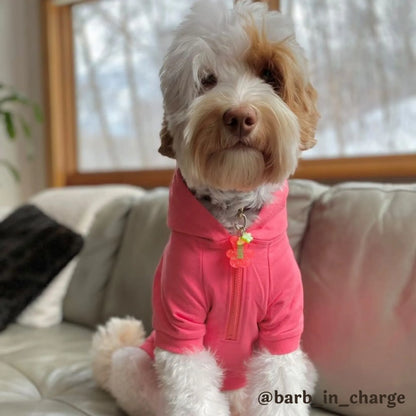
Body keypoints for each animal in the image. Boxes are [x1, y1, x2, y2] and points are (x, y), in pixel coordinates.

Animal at [91, 1, 318, 414]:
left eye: (270, 75)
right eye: (206, 80)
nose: (240, 116)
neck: (235, 222)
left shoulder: (282, 331)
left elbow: (280, 387)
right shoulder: (179, 328)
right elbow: (192, 391)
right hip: (134, 365)